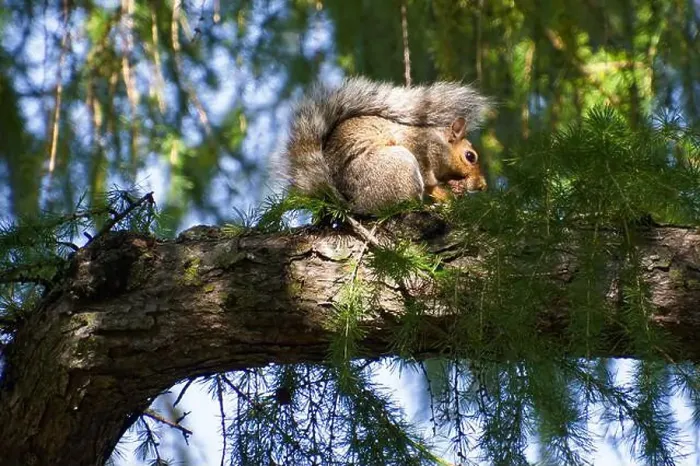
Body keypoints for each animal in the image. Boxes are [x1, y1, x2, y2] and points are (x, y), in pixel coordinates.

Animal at [284, 77, 490, 214]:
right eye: (470, 156)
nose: (482, 186)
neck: (438, 142)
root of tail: (355, 204)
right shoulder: (419, 147)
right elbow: (429, 182)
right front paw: (446, 195)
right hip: (400, 165)